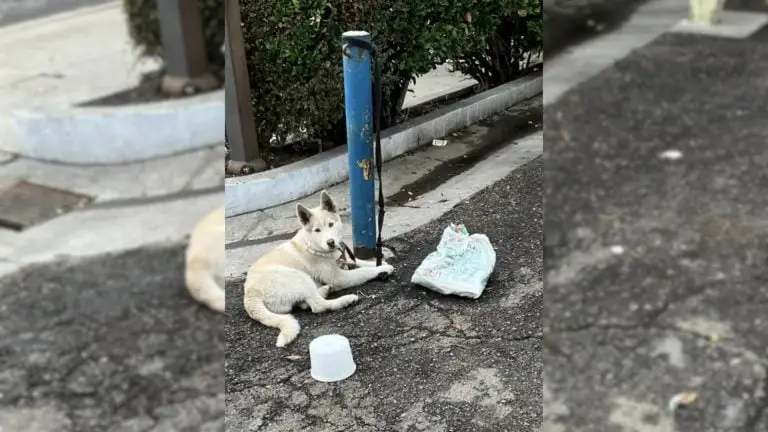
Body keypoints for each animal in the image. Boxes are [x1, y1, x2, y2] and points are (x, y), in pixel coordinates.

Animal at [243, 191, 392, 346]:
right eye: (317, 230)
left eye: (331, 224)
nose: (330, 242)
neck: (313, 245)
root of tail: (250, 295)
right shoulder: (339, 277)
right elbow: (362, 272)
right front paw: (382, 269)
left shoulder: (341, 260)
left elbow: (357, 261)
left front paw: (379, 263)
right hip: (299, 276)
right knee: (317, 306)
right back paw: (344, 300)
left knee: (306, 303)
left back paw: (325, 290)